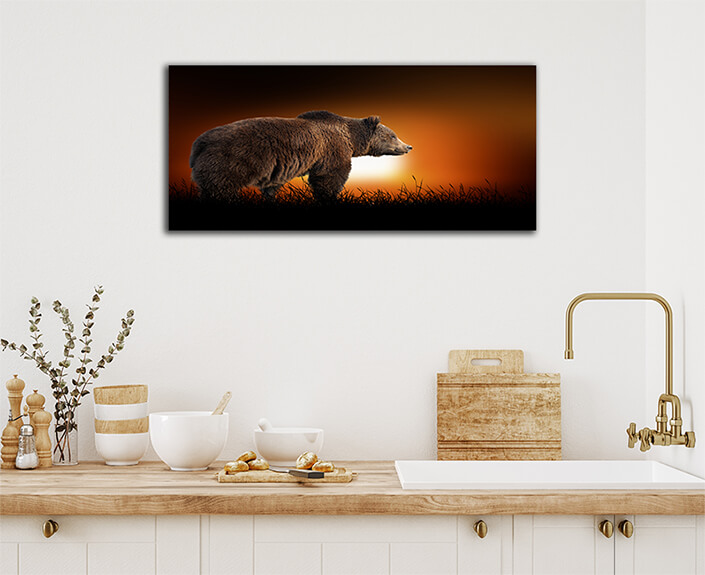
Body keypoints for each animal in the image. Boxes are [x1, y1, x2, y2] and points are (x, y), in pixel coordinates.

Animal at [189, 110, 412, 202]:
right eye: (393, 135)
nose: (408, 146)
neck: (351, 138)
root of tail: (199, 142)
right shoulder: (332, 149)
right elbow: (330, 176)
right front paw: (330, 196)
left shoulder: (278, 167)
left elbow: (273, 183)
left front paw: (270, 195)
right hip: (233, 159)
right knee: (220, 186)